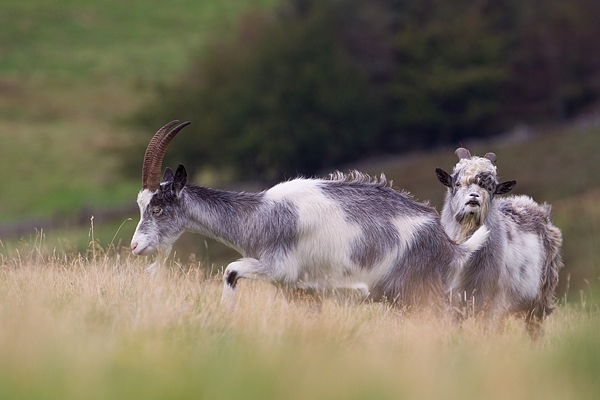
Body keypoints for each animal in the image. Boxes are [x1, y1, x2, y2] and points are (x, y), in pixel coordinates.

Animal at [129, 121, 490, 310]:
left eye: (157, 207)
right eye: (141, 205)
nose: (135, 246)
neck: (260, 216)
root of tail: (448, 245)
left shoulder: (279, 268)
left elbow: (230, 271)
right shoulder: (302, 290)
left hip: (414, 291)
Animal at [436, 147, 564, 332]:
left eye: (491, 188)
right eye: (457, 183)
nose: (474, 197)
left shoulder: (493, 304)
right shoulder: (451, 302)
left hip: (539, 300)